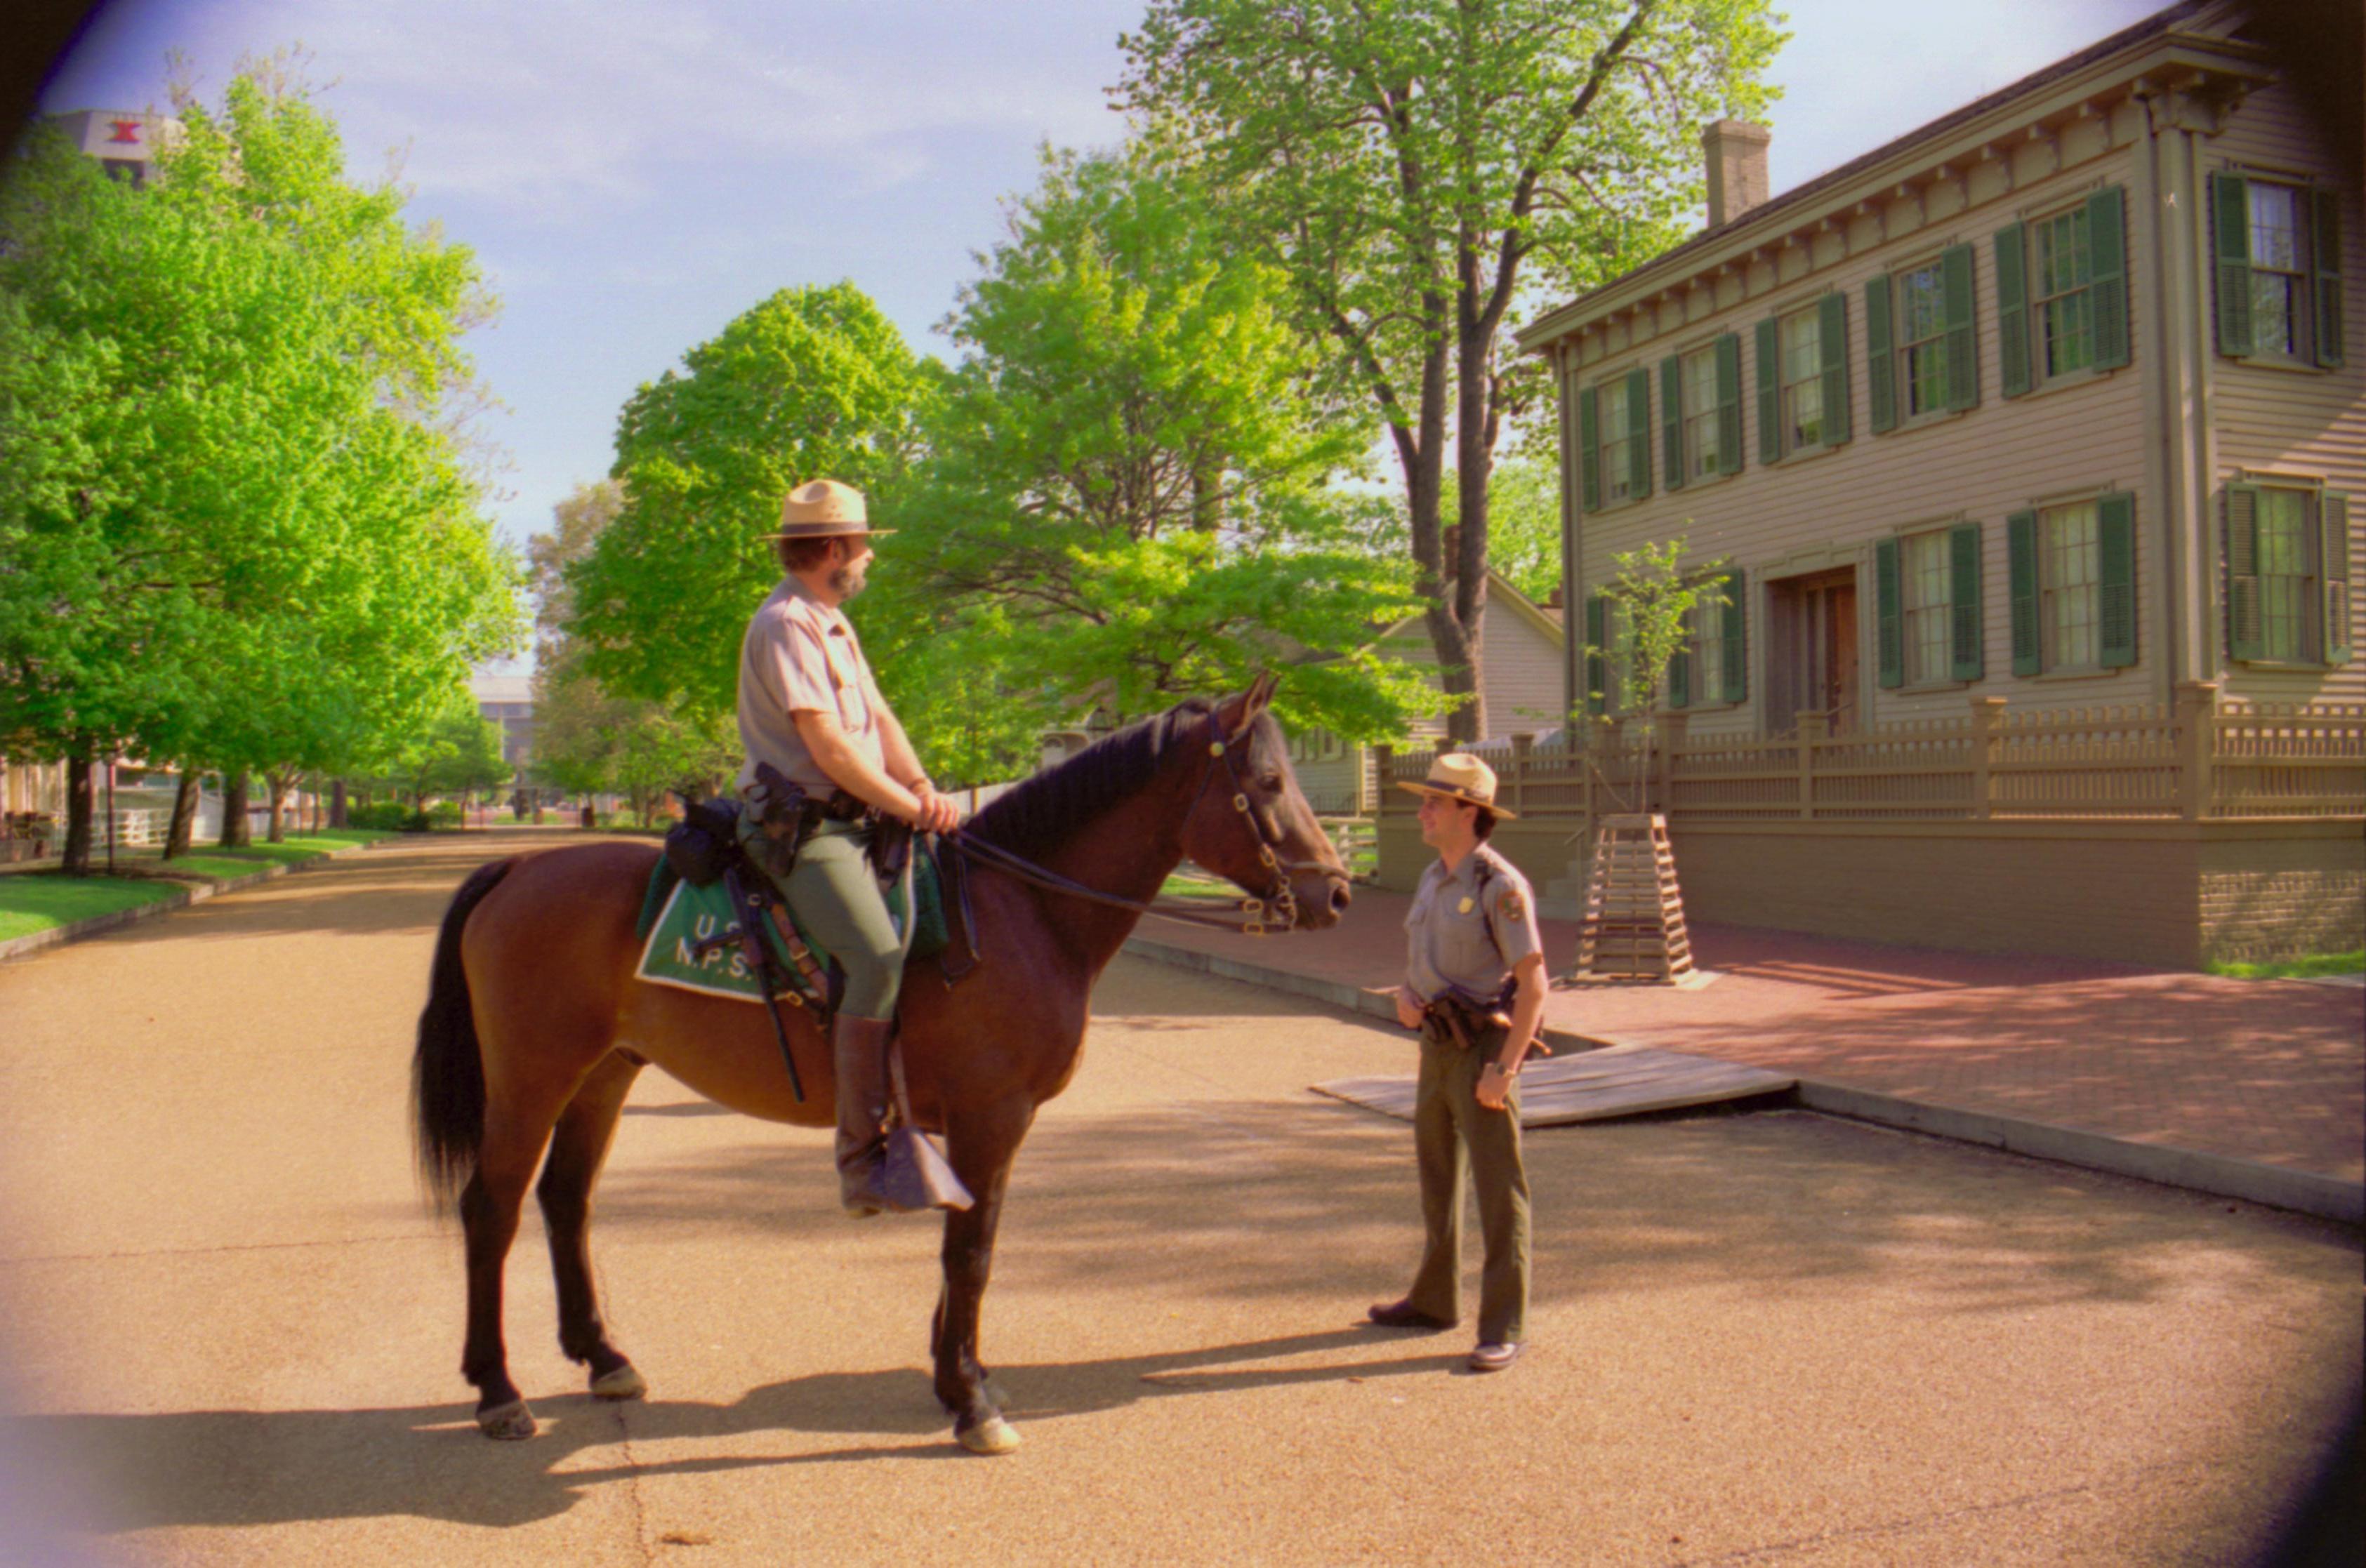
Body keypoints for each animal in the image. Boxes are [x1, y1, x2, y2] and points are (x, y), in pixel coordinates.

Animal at [407, 681, 1353, 1456]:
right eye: (1270, 783)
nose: (1337, 891)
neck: (1020, 911)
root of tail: (517, 866)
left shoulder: (980, 1123)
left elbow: (960, 1244)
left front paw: (956, 1375)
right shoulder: (991, 1114)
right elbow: (972, 1250)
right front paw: (970, 1401)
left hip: (602, 1074)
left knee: (566, 1200)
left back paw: (603, 1355)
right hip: (531, 1079)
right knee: (491, 1209)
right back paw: (497, 1389)